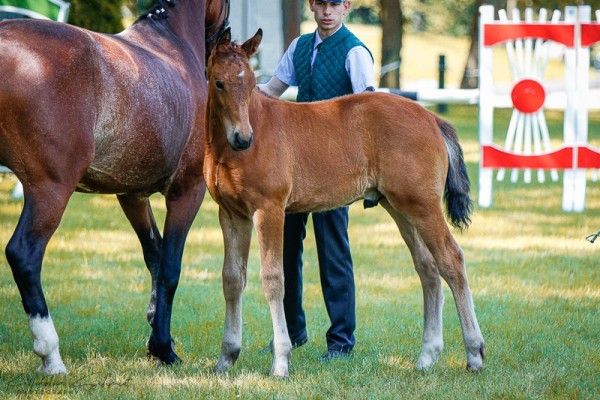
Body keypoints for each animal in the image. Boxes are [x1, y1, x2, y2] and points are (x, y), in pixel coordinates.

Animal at [0, 0, 229, 376]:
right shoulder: (187, 191)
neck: (170, 44)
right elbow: (170, 267)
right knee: (24, 254)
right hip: (50, 191)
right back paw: (51, 355)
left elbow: (155, 256)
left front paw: (156, 336)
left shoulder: (132, 194)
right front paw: (164, 349)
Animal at [204, 28, 486, 378]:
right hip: (401, 208)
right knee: (428, 268)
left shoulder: (268, 210)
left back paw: (474, 353)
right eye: (219, 83)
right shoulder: (231, 214)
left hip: (424, 206)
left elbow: (273, 279)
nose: (243, 139)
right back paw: (427, 356)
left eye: (253, 83)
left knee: (451, 260)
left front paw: (281, 362)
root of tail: (431, 117)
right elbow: (232, 279)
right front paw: (226, 357)